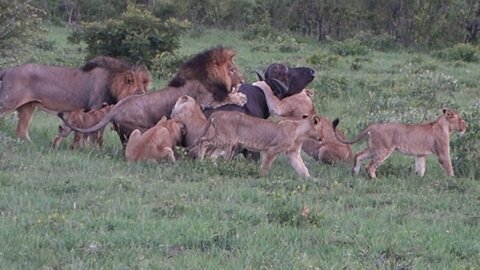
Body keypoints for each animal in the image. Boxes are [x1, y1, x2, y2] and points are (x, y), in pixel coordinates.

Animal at [0, 56, 150, 142]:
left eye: (144, 92)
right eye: (138, 93)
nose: (143, 103)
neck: (111, 83)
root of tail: (9, 70)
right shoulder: (95, 108)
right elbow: (94, 132)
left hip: (28, 106)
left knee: (21, 129)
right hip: (9, 101)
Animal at [60, 47, 246, 148]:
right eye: (232, 70)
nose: (243, 80)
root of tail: (116, 107)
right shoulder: (203, 100)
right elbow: (223, 98)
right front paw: (240, 97)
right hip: (140, 127)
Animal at [190, 110, 322, 178]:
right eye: (322, 129)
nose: (322, 138)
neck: (301, 133)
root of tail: (218, 112)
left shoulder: (293, 153)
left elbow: (302, 167)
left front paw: (310, 180)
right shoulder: (272, 149)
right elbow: (266, 165)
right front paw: (262, 177)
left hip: (225, 141)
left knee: (211, 155)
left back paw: (215, 167)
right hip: (224, 138)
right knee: (203, 141)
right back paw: (201, 161)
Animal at [332, 108, 466, 178]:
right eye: (460, 119)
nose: (467, 126)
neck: (445, 126)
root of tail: (373, 125)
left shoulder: (420, 154)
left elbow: (420, 168)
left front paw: (419, 179)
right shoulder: (443, 152)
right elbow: (449, 166)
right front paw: (453, 180)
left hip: (373, 148)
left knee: (358, 156)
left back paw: (355, 173)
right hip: (383, 150)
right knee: (370, 166)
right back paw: (375, 179)